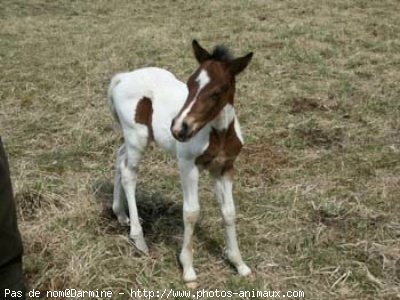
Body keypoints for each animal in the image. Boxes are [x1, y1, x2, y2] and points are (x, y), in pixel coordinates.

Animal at [107, 39, 253, 282]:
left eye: (218, 91)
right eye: (190, 84)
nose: (178, 128)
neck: (219, 134)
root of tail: (123, 77)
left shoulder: (224, 168)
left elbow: (229, 212)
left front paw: (239, 264)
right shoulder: (187, 164)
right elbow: (191, 212)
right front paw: (188, 268)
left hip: (138, 138)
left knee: (119, 157)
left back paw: (120, 214)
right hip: (137, 137)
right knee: (129, 172)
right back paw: (139, 239)